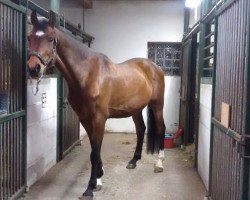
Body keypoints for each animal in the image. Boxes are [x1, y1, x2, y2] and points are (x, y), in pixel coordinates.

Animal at [27, 10, 166, 200]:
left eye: (50, 38)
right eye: (29, 37)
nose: (33, 69)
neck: (87, 75)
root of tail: (155, 66)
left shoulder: (99, 118)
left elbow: (95, 152)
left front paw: (90, 188)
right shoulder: (85, 119)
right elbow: (94, 149)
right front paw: (99, 178)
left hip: (157, 105)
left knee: (161, 128)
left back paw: (159, 164)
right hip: (135, 109)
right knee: (141, 129)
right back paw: (133, 161)